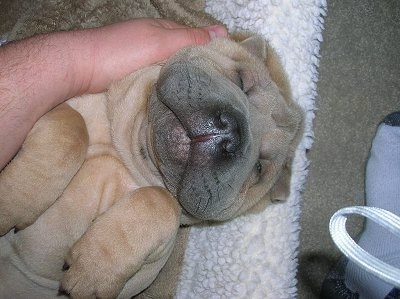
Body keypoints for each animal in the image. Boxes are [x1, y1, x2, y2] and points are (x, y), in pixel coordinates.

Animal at [0, 1, 302, 298]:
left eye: (259, 168)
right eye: (242, 82)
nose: (231, 132)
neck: (125, 154)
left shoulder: (146, 269)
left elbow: (161, 200)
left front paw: (95, 266)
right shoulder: (53, 109)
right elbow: (72, 127)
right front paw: (15, 198)